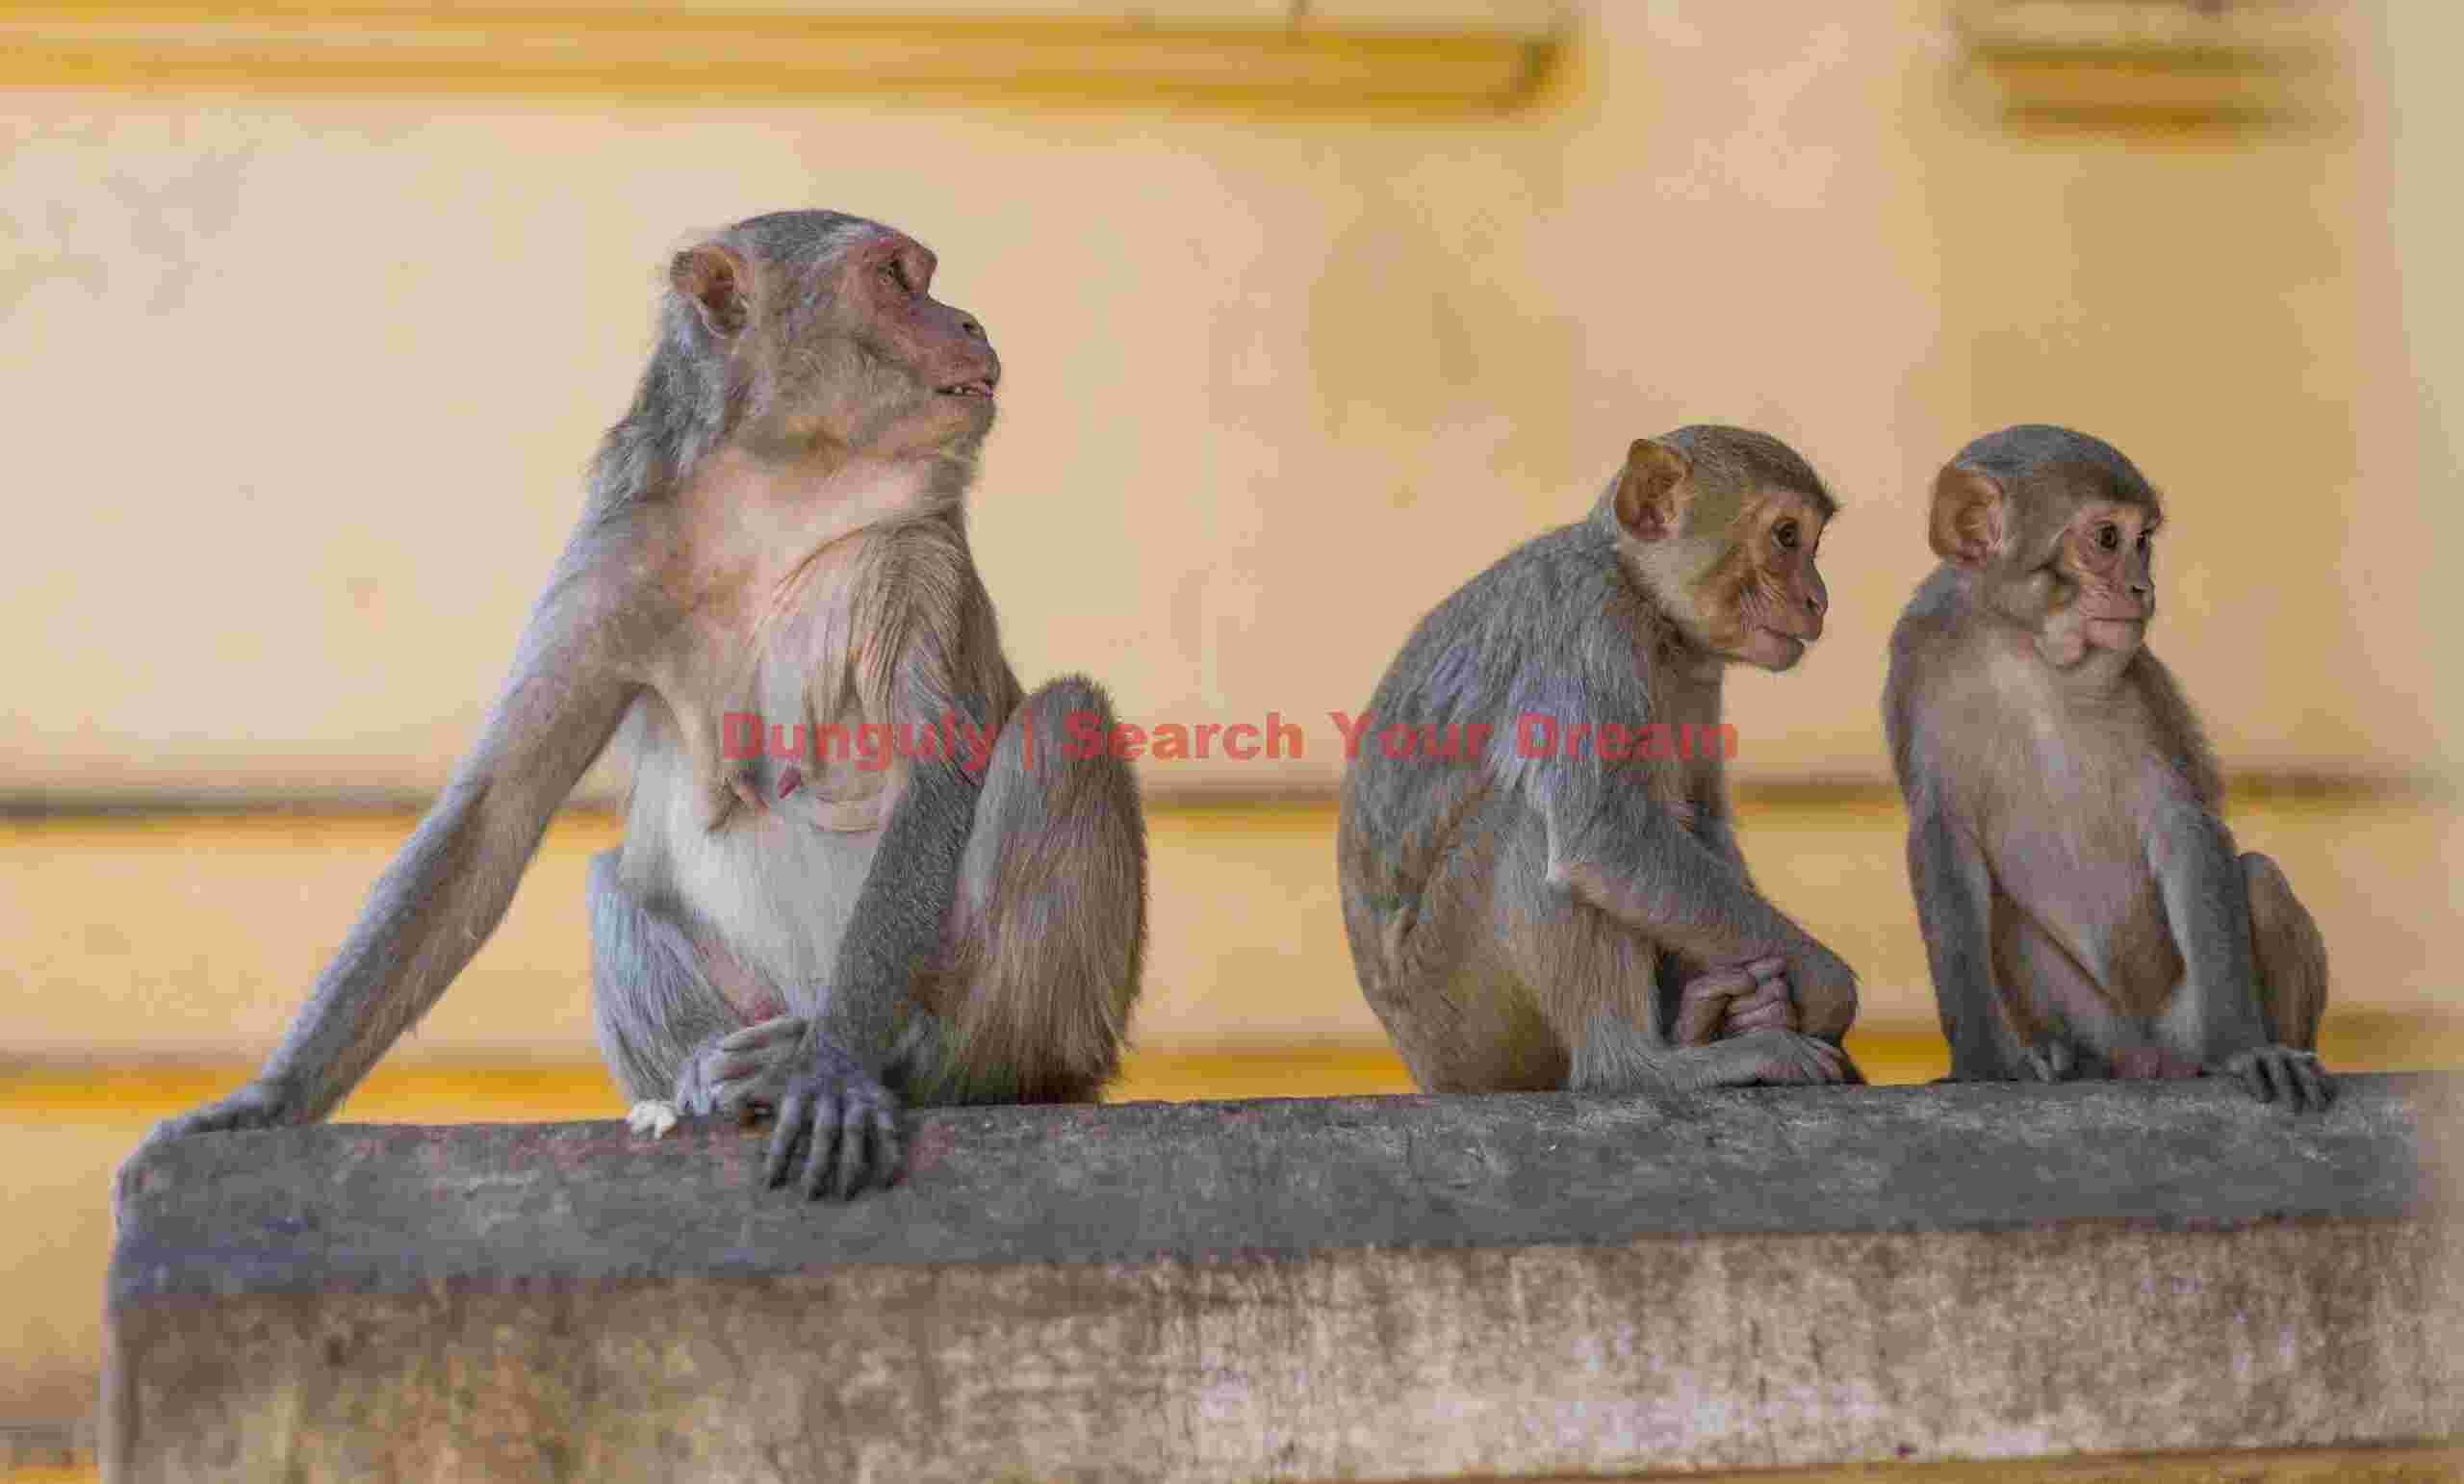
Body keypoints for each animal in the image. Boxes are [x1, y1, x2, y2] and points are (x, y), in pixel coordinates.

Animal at [139, 210, 1150, 1196]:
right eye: (899, 279)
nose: (969, 322)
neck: (781, 494)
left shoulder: (916, 547)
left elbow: (940, 773)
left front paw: (832, 1071)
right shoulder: (612, 554)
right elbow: (493, 811)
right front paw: (268, 1098)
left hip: (1021, 1014)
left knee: (1063, 725)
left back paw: (904, 1063)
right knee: (608, 880)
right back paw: (713, 1077)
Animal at [1337, 426, 1864, 1096]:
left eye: (1809, 542)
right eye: (1787, 536)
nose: (1818, 599)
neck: (1643, 601)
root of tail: (1420, 1065)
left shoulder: (1695, 673)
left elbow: (1702, 816)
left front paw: (1762, 1005)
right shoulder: (1585, 628)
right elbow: (1602, 838)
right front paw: (1825, 991)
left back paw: (1695, 1023)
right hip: (1459, 1016)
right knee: (1529, 823)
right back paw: (1637, 1065)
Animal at [1884, 424, 2330, 1109]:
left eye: (2143, 540)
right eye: (2107, 539)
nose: (2143, 589)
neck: (2025, 646)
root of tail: (2147, 1059)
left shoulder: (2137, 685)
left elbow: (2183, 825)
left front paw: (2245, 1049)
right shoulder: (1918, 659)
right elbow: (1942, 837)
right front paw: (1982, 1064)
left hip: (2182, 1027)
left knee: (2257, 878)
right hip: (2101, 1025)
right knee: (2005, 921)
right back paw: (2067, 1060)